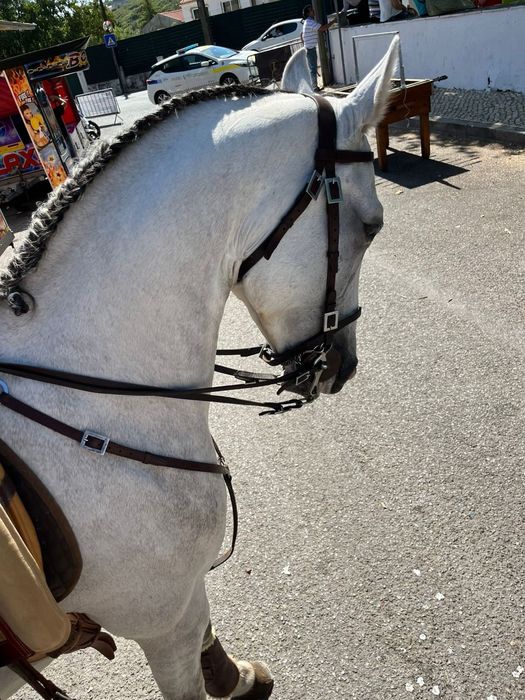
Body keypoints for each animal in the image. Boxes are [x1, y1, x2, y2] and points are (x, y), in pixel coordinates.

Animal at [0, 40, 397, 700]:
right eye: (371, 227)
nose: (343, 365)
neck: (89, 405)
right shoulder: (164, 621)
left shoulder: (185, 601)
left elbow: (210, 625)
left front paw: (234, 677)